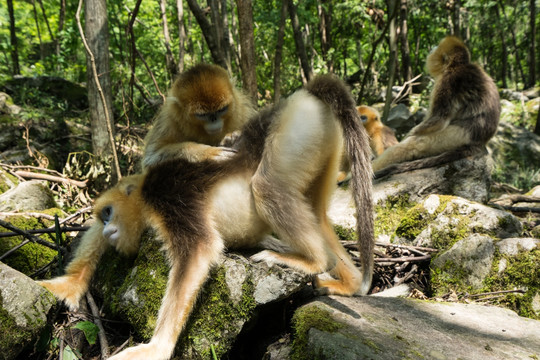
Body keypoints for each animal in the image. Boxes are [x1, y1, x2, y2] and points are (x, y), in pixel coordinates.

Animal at [39, 74, 376, 360]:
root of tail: (305, 93)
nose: (108, 227)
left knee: (268, 187)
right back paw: (348, 282)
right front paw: (67, 285)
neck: (145, 196)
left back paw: (316, 261)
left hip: (298, 122)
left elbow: (201, 247)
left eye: (109, 213)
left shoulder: (167, 196)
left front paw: (157, 348)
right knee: (316, 213)